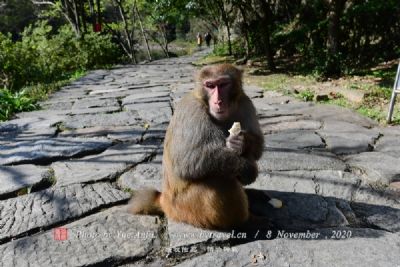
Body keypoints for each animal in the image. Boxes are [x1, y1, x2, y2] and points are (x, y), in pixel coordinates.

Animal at [131, 63, 268, 230]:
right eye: (210, 86)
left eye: (223, 84)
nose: (218, 101)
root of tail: (164, 199)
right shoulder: (193, 111)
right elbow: (187, 162)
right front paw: (247, 168)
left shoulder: (245, 102)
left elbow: (257, 148)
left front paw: (241, 142)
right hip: (186, 206)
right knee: (221, 180)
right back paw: (244, 222)